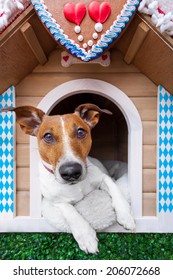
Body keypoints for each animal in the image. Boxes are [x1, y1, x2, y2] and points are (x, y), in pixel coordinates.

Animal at [1, 104, 135, 253]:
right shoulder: (54, 201)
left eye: (81, 132)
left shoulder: (103, 178)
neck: (75, 185)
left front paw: (126, 215)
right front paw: (86, 237)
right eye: (48, 136)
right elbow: (71, 212)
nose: (71, 171)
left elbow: (115, 189)